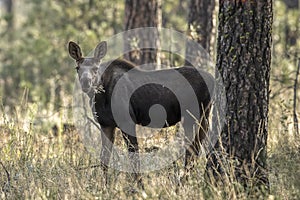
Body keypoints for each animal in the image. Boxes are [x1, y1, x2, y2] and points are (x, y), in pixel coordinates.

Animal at [68, 41, 213, 188]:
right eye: (77, 67)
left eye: (96, 68)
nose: (86, 83)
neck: (100, 96)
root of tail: (213, 80)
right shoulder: (106, 124)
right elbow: (104, 159)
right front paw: (104, 187)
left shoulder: (127, 122)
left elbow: (133, 156)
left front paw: (139, 187)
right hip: (204, 116)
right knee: (198, 147)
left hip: (191, 117)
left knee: (192, 149)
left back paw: (182, 183)